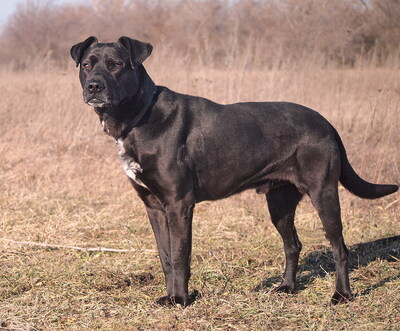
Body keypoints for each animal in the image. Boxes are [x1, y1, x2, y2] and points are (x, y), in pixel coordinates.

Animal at [70, 35, 398, 306]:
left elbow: (179, 255)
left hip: (323, 192)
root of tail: (327, 122)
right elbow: (165, 257)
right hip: (279, 201)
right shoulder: (153, 206)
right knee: (293, 244)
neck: (139, 115)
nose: (94, 86)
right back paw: (287, 287)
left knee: (339, 248)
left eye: (116, 65)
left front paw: (181, 300)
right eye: (87, 65)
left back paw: (341, 295)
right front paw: (170, 296)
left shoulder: (178, 204)